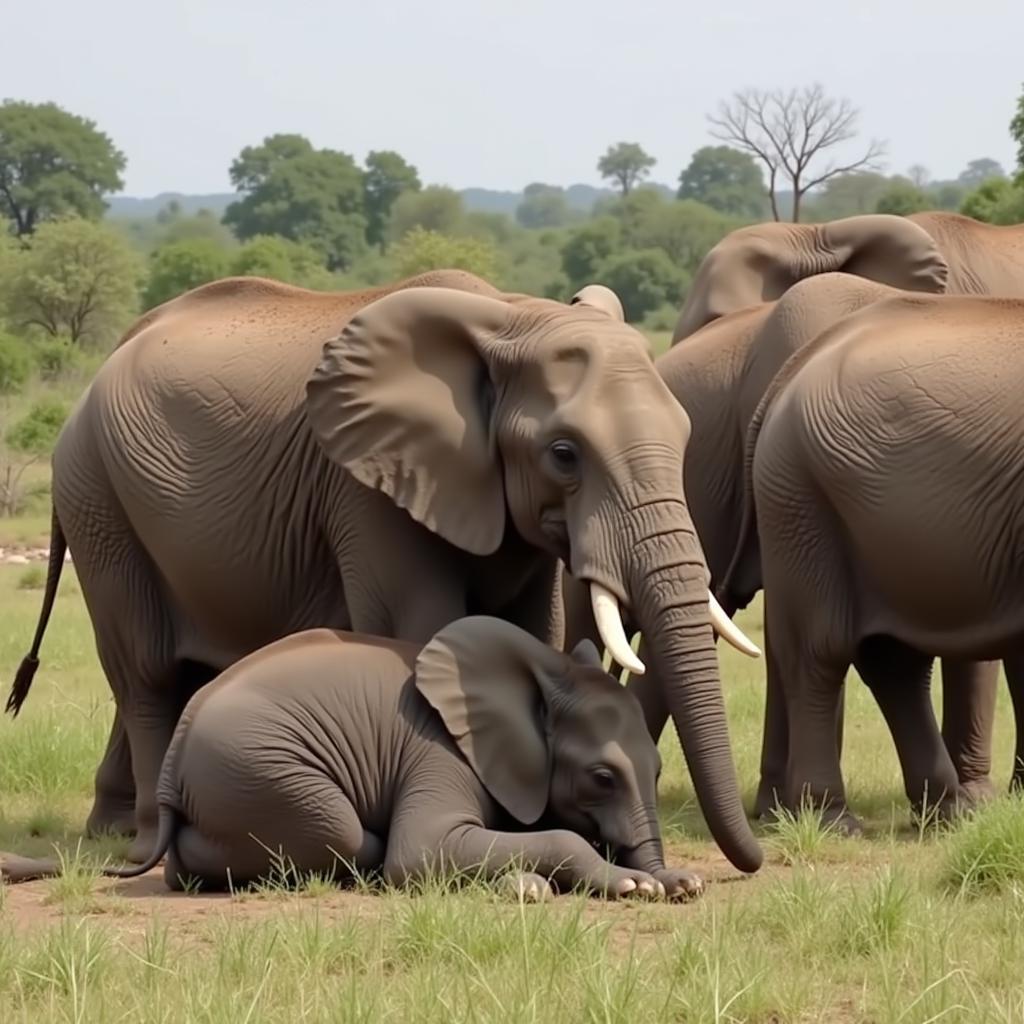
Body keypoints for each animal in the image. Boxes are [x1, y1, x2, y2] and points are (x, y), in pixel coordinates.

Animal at [0, 610, 700, 901]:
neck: (537, 671)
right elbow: (417, 851)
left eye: (657, 769)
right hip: (257, 771)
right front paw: (629, 885)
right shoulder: (437, 753)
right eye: (602, 776)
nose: (666, 879)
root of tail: (174, 763)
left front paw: (675, 886)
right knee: (348, 836)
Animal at [6, 266, 761, 872]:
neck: (509, 317)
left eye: (686, 437)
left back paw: (109, 828)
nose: (751, 862)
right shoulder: (366, 488)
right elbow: (421, 620)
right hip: (99, 498)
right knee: (147, 672)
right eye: (564, 454)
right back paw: (139, 838)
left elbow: (531, 626)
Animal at [720, 292, 1024, 827]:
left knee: (893, 661)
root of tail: (788, 374)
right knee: (822, 649)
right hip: (801, 498)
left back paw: (945, 812)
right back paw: (834, 818)